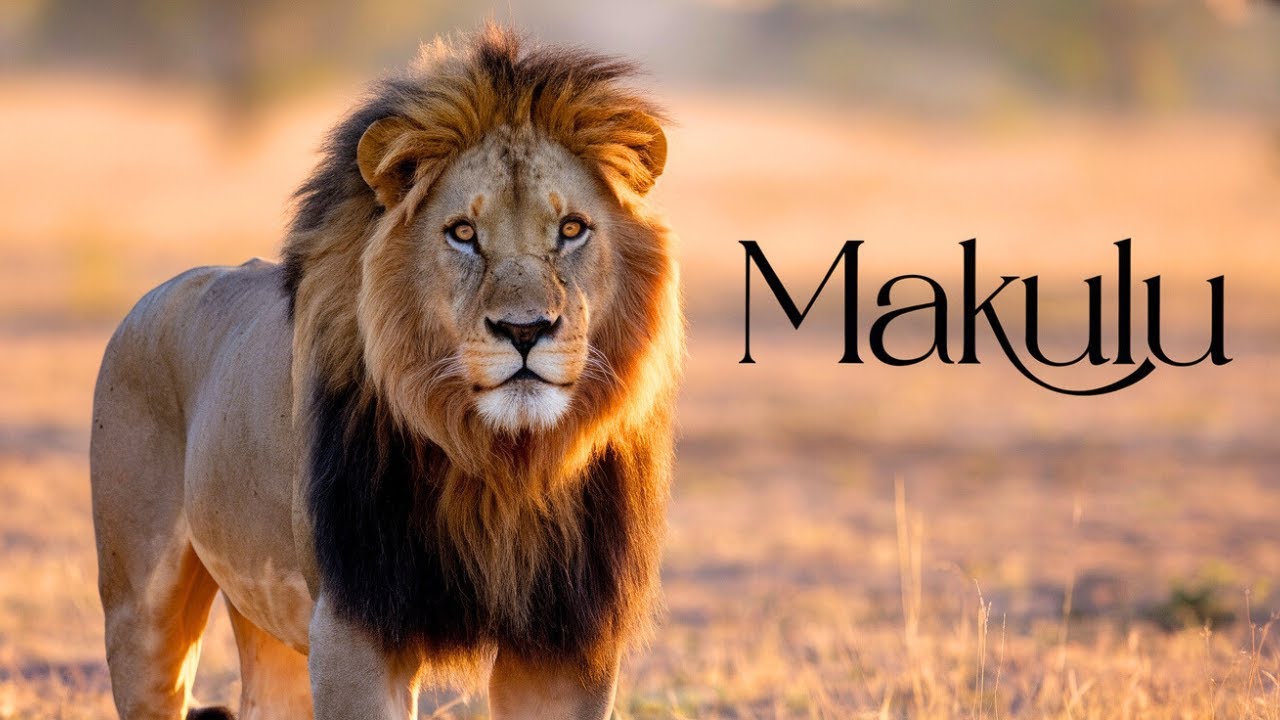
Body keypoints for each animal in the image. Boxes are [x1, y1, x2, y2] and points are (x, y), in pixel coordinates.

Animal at [89, 26, 682, 720]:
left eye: (571, 229)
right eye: (462, 233)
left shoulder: (566, 643)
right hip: (140, 605)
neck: (501, 465)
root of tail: (150, 298)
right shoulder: (353, 624)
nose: (524, 330)